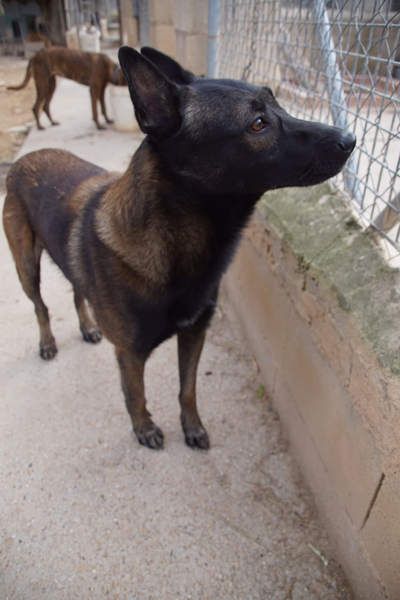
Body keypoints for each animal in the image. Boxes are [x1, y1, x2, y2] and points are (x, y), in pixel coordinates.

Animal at [3, 46, 356, 450]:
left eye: (278, 105)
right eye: (258, 124)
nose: (350, 139)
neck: (174, 242)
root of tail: (21, 160)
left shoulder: (193, 334)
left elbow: (187, 389)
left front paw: (192, 427)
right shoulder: (130, 354)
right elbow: (136, 395)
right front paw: (144, 428)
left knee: (77, 291)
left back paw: (88, 327)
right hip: (26, 267)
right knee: (41, 306)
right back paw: (47, 343)